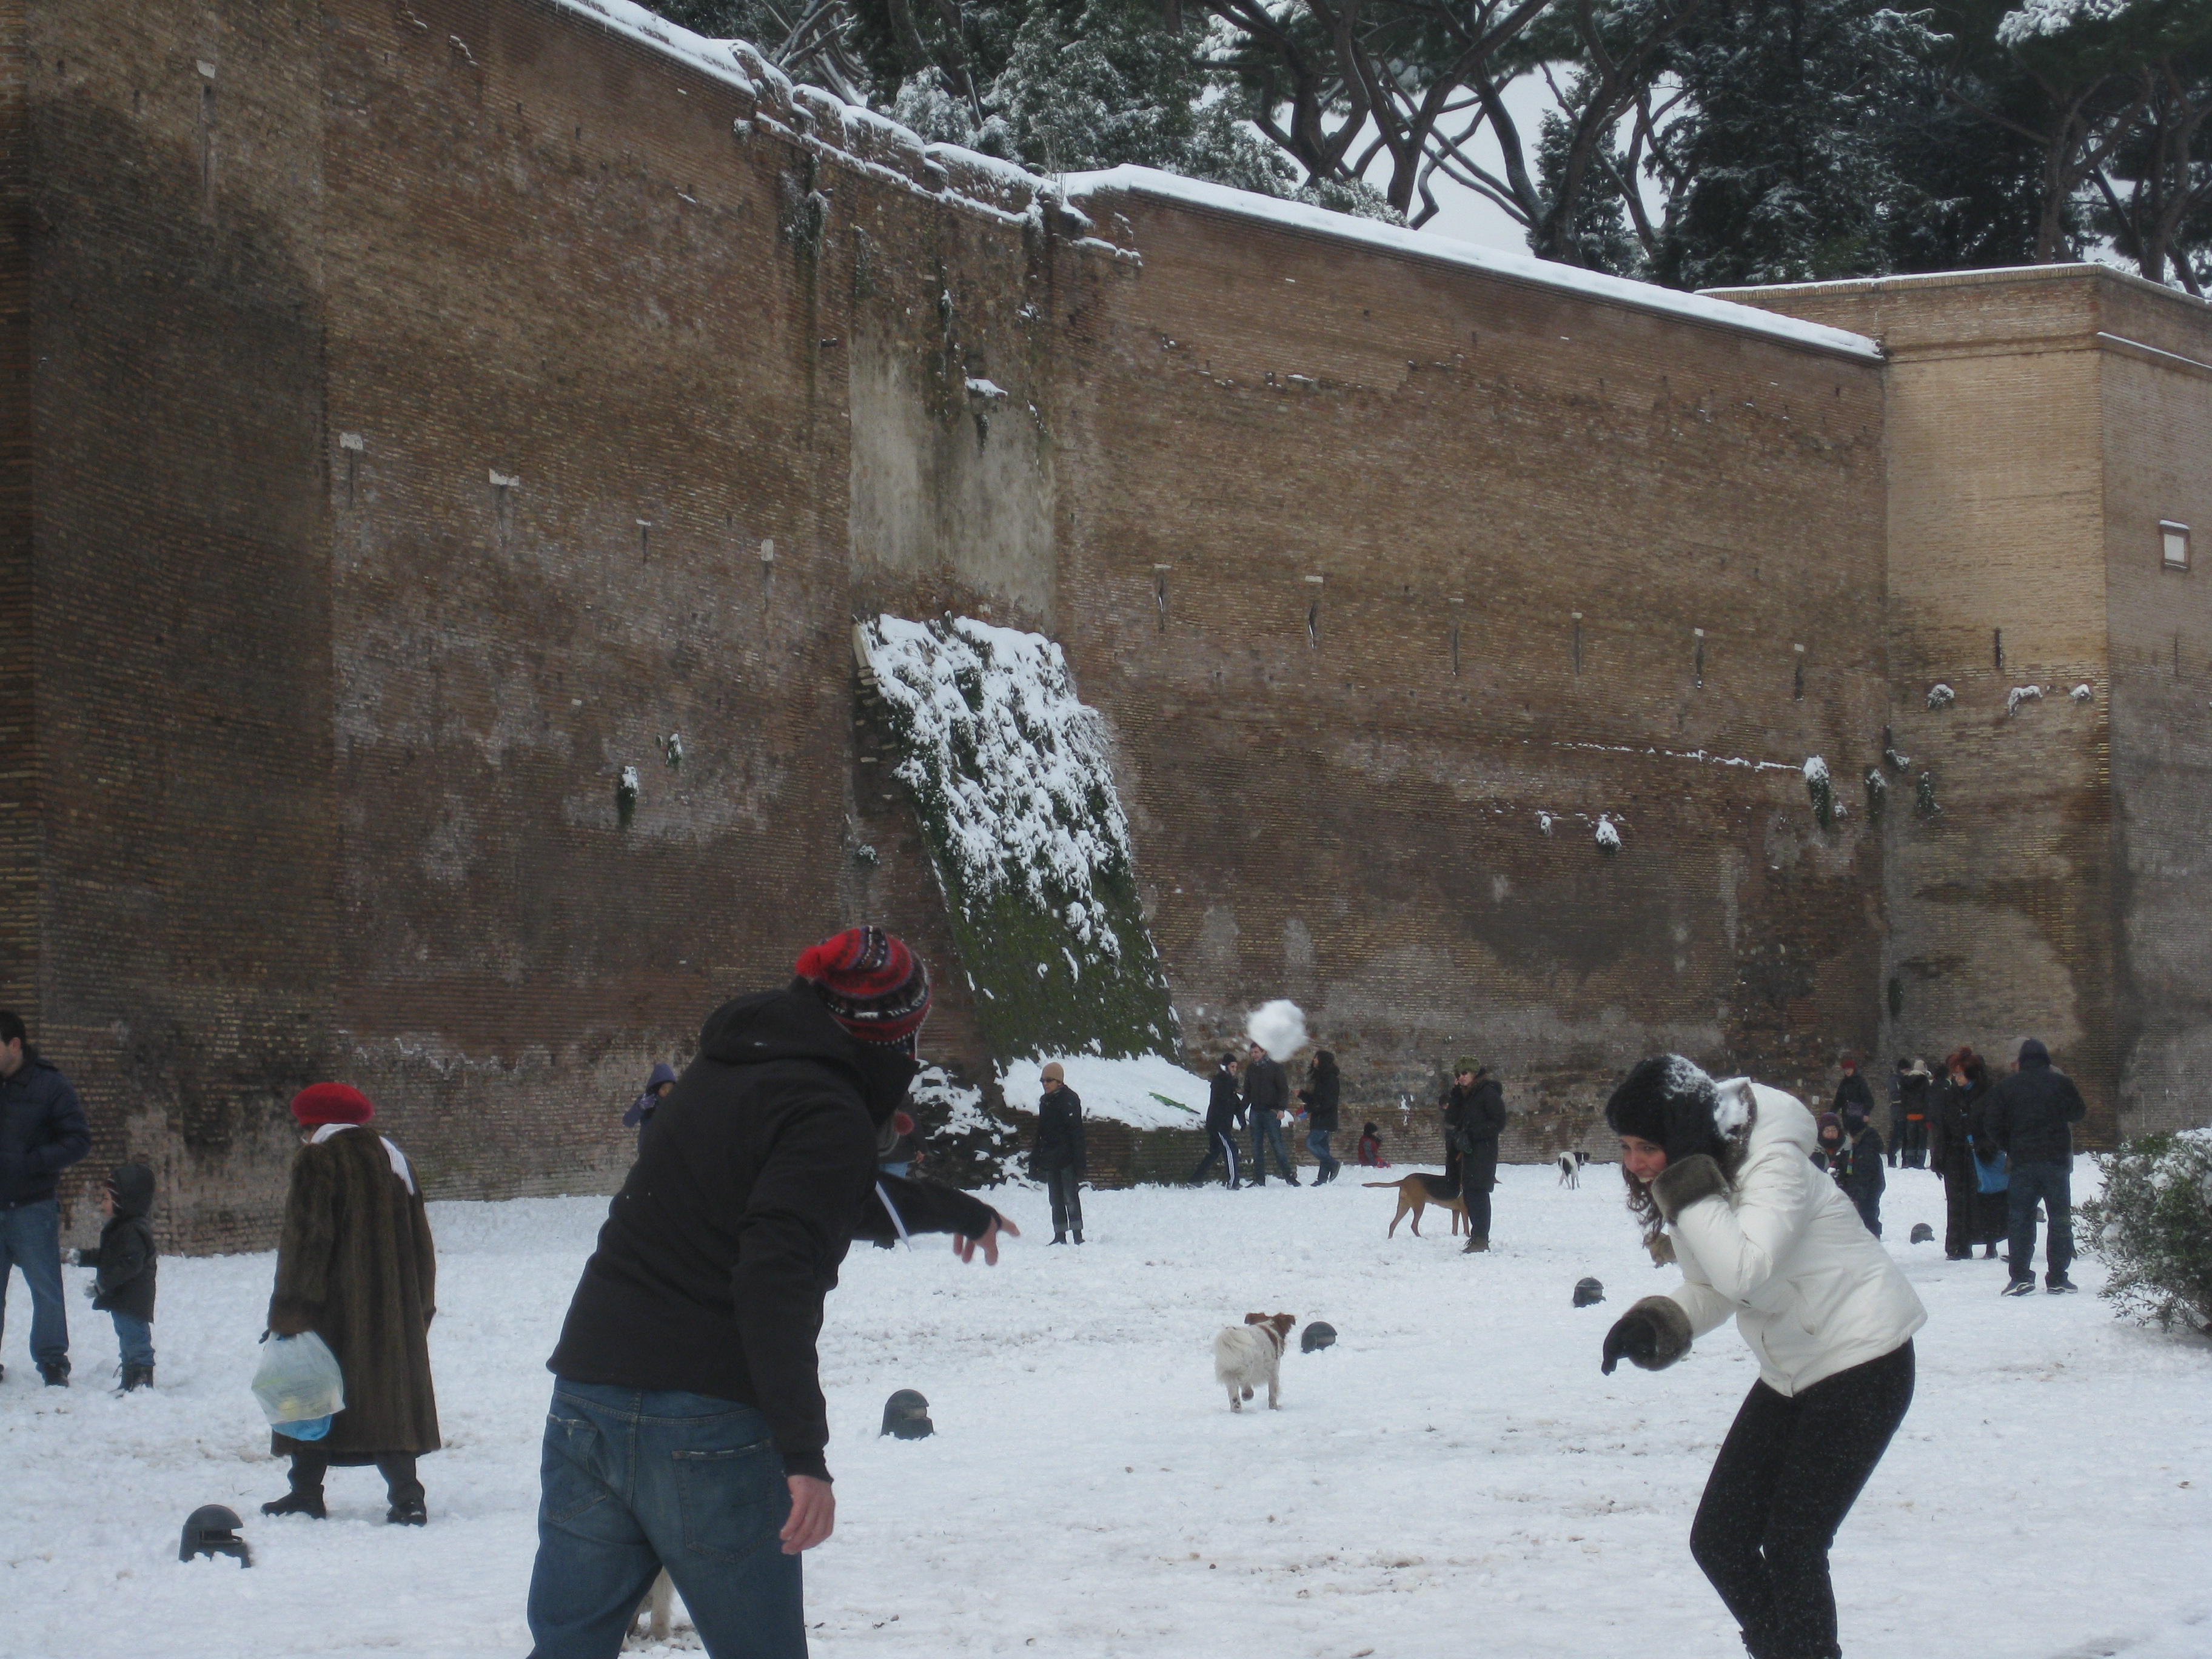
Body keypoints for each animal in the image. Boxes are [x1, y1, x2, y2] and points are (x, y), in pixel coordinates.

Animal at [1212, 1318, 1292, 1407]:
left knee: (1234, 1395)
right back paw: (1247, 1394)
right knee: (1241, 1382)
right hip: (1247, 1368)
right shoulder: (1273, 1372)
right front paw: (1274, 1407)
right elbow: (1272, 1393)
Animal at [1362, 1176, 1469, 1238]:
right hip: (1419, 1207)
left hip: (1403, 1207)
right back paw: (1422, 1238)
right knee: (1413, 1225)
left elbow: (1455, 1228)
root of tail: (1404, 1181)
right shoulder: (1464, 1211)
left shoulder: (1456, 1211)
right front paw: (1467, 1237)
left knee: (1393, 1224)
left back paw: (1390, 1239)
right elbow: (1466, 1227)